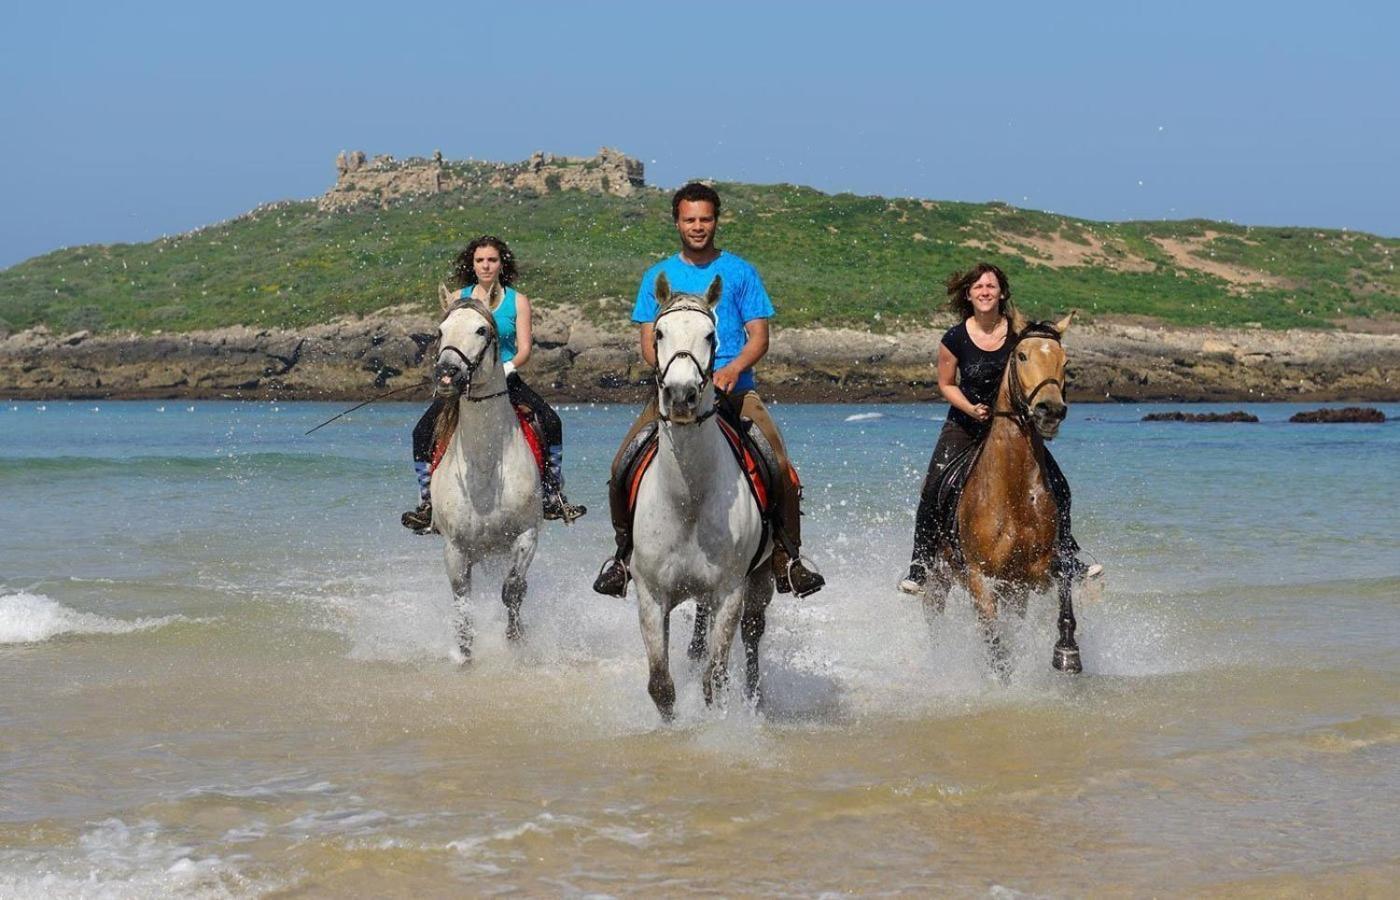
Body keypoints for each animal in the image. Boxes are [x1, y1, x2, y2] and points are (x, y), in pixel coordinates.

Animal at [428, 285, 537, 657]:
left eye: (482, 330)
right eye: (440, 331)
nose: (447, 374)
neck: (485, 465)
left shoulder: (527, 535)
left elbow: (513, 590)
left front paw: (516, 639)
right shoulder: (455, 549)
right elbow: (463, 604)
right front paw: (464, 654)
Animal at [630, 274, 772, 716]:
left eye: (711, 335)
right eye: (659, 333)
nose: (681, 396)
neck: (688, 499)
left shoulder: (729, 592)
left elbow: (715, 680)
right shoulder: (651, 595)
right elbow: (661, 685)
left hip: (761, 580)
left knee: (753, 636)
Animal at [924, 313, 1086, 671]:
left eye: (1065, 361)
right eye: (1022, 356)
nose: (1050, 410)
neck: (1013, 493)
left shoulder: (1033, 574)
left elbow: (1064, 588)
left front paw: (1067, 651)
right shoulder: (979, 577)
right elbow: (995, 642)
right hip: (939, 574)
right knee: (933, 615)